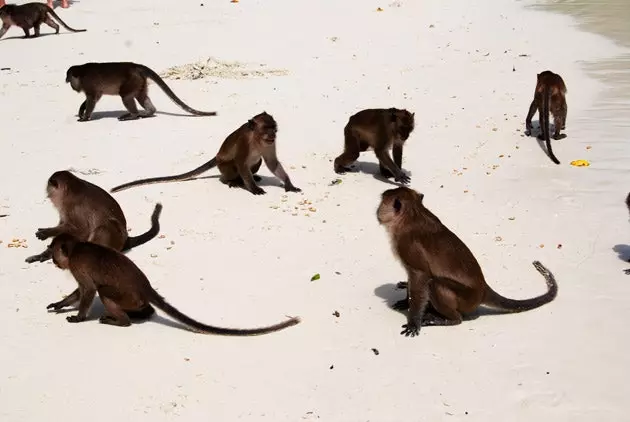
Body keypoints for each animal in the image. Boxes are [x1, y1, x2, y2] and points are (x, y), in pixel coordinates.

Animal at [24, 171, 163, 264]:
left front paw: (47, 232)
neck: (72, 190)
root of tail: (125, 239)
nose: (47, 193)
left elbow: (81, 230)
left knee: (103, 228)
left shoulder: (73, 208)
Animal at [45, 234, 302, 336]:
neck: (76, 248)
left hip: (126, 295)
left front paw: (78, 317)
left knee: (104, 292)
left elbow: (87, 290)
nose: (52, 260)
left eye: (53, 251)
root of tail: (145, 285)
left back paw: (123, 321)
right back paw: (141, 314)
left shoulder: (77, 265)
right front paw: (59, 305)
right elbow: (80, 291)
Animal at [66, 61, 220, 123]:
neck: (81, 73)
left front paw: (85, 117)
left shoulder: (88, 83)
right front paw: (82, 110)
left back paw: (133, 115)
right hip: (140, 81)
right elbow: (95, 97)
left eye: (69, 77)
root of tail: (136, 66)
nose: (68, 82)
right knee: (141, 95)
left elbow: (92, 99)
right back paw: (148, 112)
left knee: (126, 96)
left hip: (133, 79)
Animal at [110, 113, 302, 197]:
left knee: (257, 162)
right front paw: (253, 188)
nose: (273, 134)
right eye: (266, 128)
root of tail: (216, 157)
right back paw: (233, 181)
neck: (257, 139)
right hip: (222, 165)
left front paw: (288, 184)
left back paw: (252, 177)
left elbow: (271, 162)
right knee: (233, 167)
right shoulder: (244, 142)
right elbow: (240, 163)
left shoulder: (270, 145)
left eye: (273, 128)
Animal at [378, 186, 560, 338]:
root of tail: (483, 288)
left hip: (466, 300)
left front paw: (413, 321)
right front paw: (405, 300)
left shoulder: (408, 246)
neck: (414, 215)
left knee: (436, 284)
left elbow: (421, 277)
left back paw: (450, 319)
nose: (377, 211)